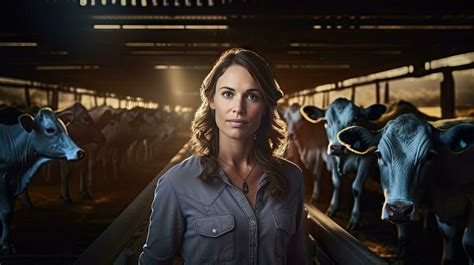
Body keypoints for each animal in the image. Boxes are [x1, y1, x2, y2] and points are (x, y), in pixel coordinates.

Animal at [0, 108, 83, 254]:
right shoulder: (3, 178)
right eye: (49, 130)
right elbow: (6, 212)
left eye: (65, 128)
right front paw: (6, 244)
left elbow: (8, 211)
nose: (79, 152)